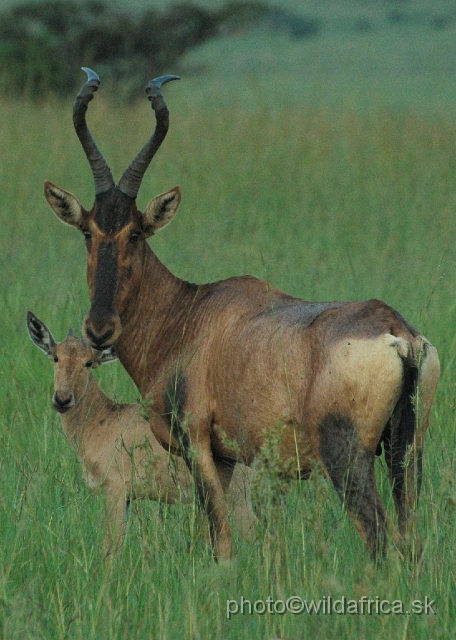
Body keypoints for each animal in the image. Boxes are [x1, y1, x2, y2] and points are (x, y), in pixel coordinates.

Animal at [26, 312, 256, 552]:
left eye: (88, 362)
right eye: (56, 357)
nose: (62, 399)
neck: (105, 419)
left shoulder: (116, 492)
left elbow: (110, 546)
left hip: (237, 499)